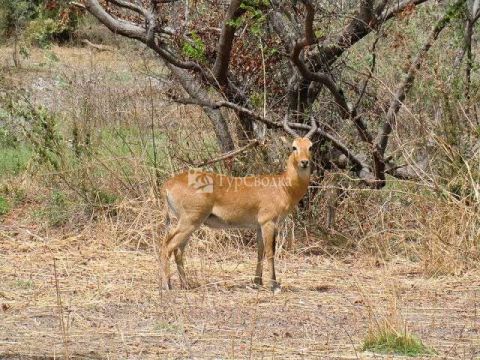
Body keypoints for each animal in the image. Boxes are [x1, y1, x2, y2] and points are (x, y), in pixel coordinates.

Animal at [161, 116, 316, 292]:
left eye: (310, 146)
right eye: (293, 147)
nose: (304, 162)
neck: (282, 186)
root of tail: (169, 184)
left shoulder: (258, 226)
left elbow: (260, 251)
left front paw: (257, 282)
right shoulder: (268, 222)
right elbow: (270, 252)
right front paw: (274, 286)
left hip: (189, 224)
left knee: (178, 250)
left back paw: (185, 284)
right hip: (189, 222)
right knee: (167, 245)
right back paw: (166, 285)